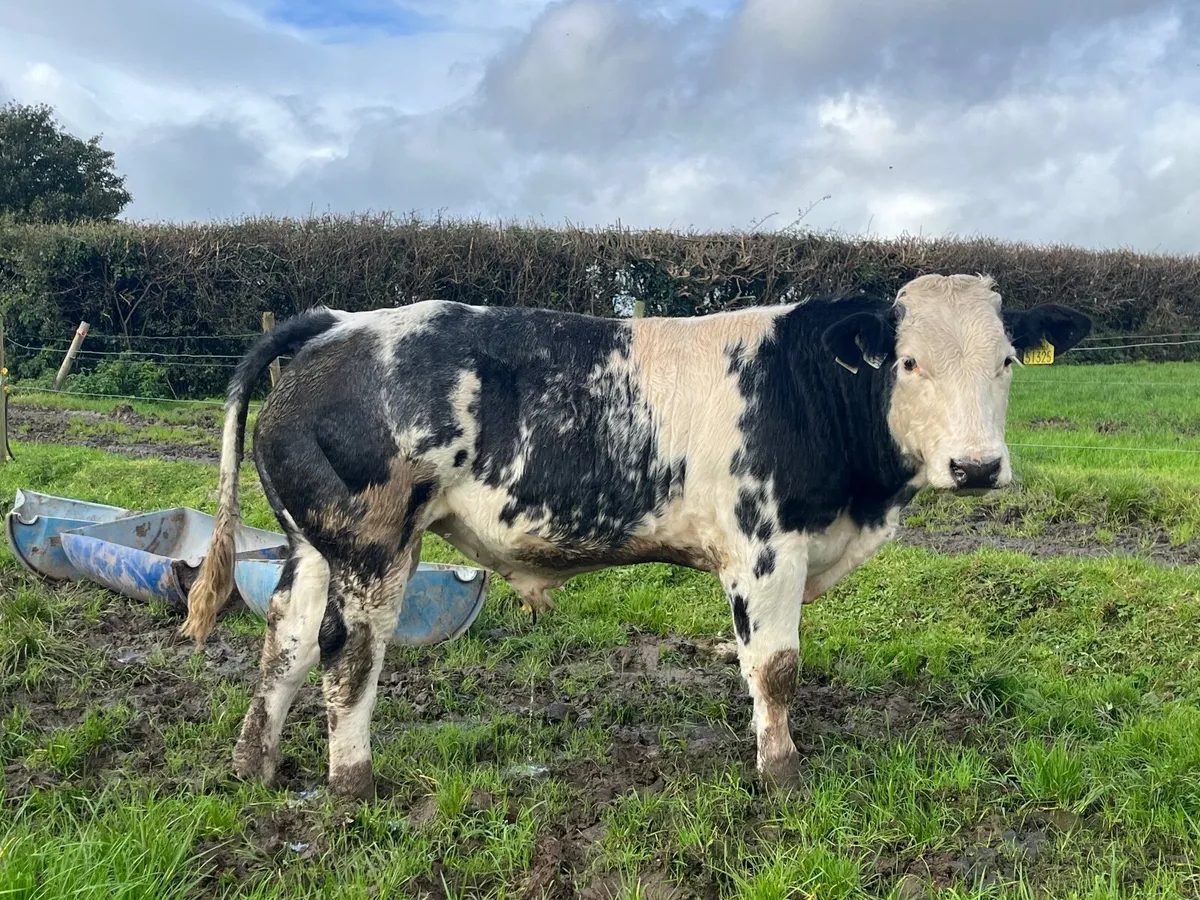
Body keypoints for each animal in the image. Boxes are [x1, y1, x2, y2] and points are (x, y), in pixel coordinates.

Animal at [180, 272, 1091, 799]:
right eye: (908, 362)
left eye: (1008, 360)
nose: (977, 466)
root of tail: (339, 322)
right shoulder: (764, 548)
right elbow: (777, 668)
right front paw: (783, 774)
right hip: (375, 544)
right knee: (351, 650)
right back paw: (352, 784)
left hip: (315, 543)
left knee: (288, 638)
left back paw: (255, 765)